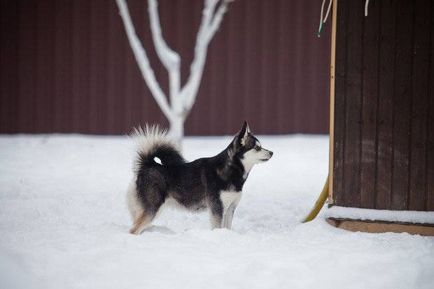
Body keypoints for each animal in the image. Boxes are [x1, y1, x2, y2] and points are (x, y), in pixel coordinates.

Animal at [127, 120, 272, 233]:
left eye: (261, 146)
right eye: (257, 147)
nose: (272, 152)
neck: (231, 170)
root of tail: (148, 165)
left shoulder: (230, 208)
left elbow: (227, 228)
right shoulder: (217, 208)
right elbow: (217, 227)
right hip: (152, 208)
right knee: (133, 230)